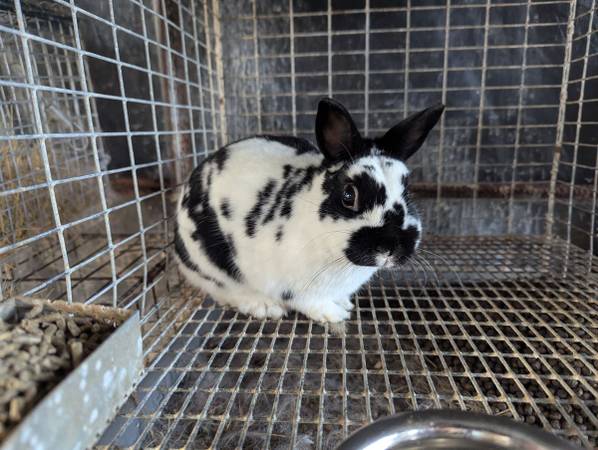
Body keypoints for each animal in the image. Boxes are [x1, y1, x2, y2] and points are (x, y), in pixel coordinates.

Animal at [175, 98, 444, 323]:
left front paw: (344, 305)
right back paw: (264, 306)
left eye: (407, 191)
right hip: (209, 265)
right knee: (225, 289)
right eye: (349, 195)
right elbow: (310, 303)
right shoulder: (295, 287)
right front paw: (334, 315)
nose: (390, 247)